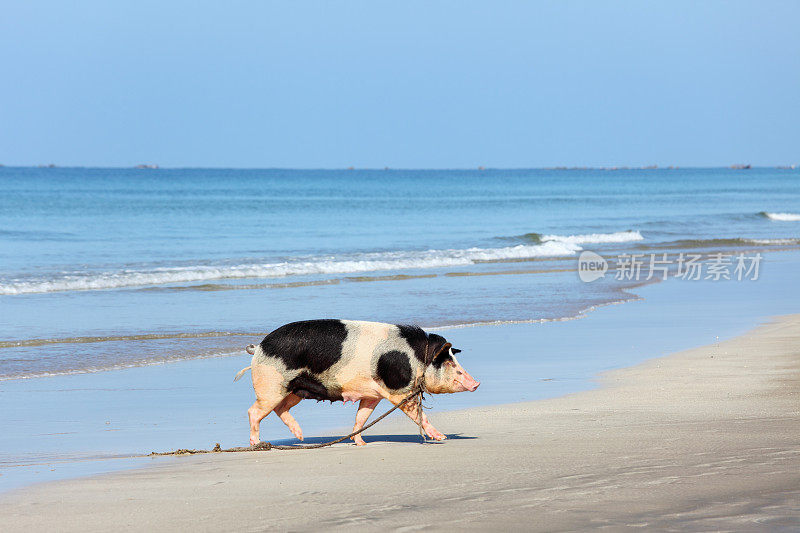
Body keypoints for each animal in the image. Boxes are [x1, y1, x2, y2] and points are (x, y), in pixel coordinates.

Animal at [234, 320, 478, 444]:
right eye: (450, 363)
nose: (476, 384)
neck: (417, 358)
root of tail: (258, 348)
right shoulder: (396, 390)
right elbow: (418, 414)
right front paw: (441, 437)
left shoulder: (372, 394)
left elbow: (362, 417)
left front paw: (360, 442)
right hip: (271, 386)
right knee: (253, 411)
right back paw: (256, 444)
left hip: (294, 390)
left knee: (280, 409)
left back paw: (300, 436)